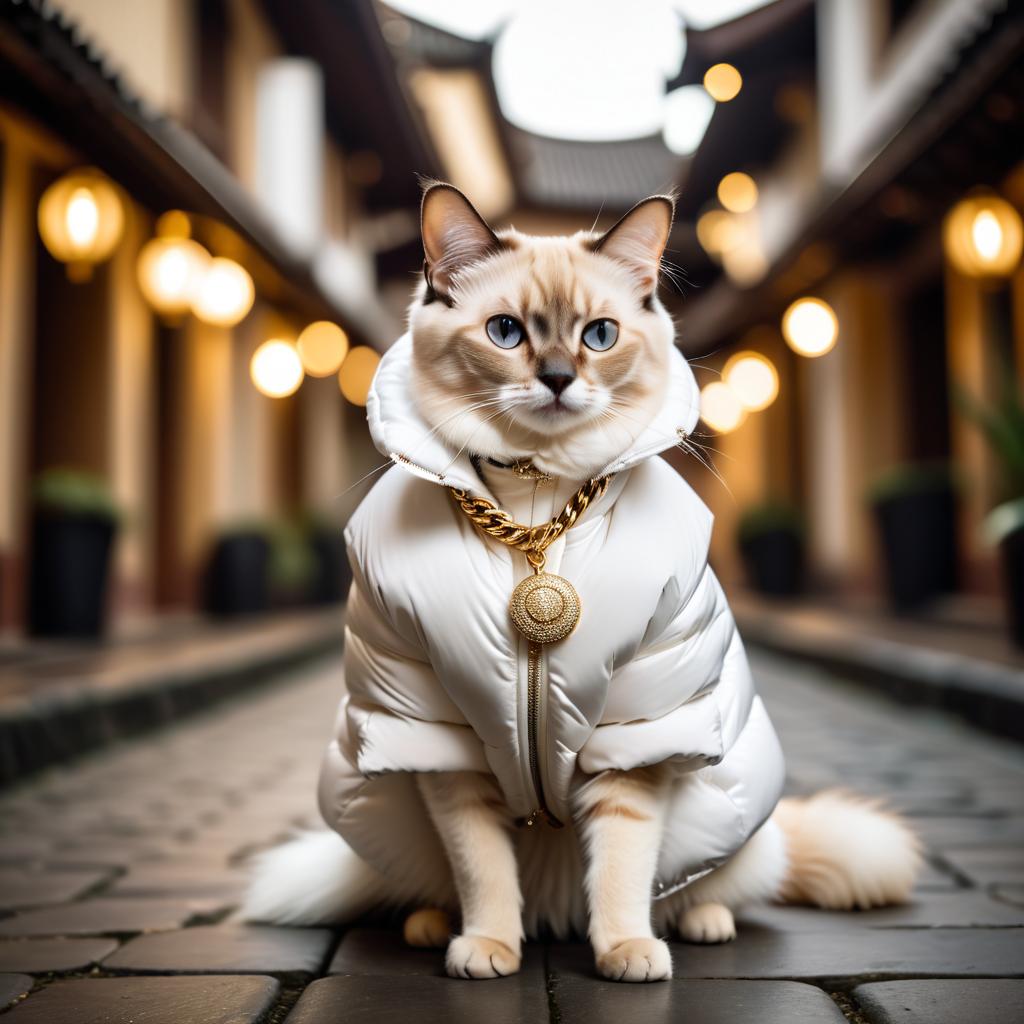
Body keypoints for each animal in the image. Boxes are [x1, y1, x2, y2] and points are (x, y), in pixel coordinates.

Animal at [245, 184, 921, 983]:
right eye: (505, 332)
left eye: (599, 336)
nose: (560, 379)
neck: (536, 512)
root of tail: (554, 913)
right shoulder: (442, 738)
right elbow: (481, 867)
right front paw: (489, 949)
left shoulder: (635, 738)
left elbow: (624, 867)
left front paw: (626, 954)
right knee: (441, 885)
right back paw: (434, 927)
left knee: (700, 888)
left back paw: (698, 926)